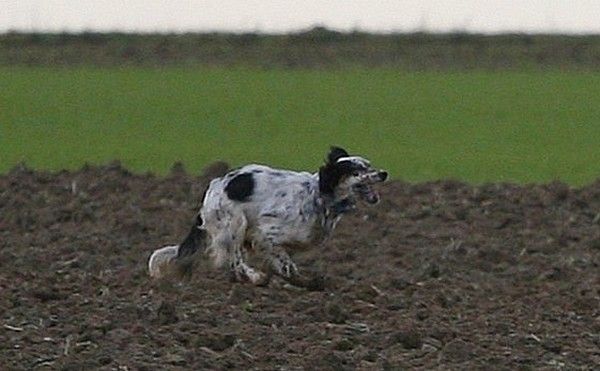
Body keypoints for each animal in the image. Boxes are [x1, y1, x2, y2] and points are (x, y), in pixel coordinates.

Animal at [148, 147, 386, 290]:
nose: (384, 173)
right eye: (357, 171)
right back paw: (254, 277)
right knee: (234, 261)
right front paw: (306, 281)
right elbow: (286, 265)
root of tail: (213, 188)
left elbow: (281, 263)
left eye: (369, 165)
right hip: (234, 224)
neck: (319, 195)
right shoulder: (267, 233)